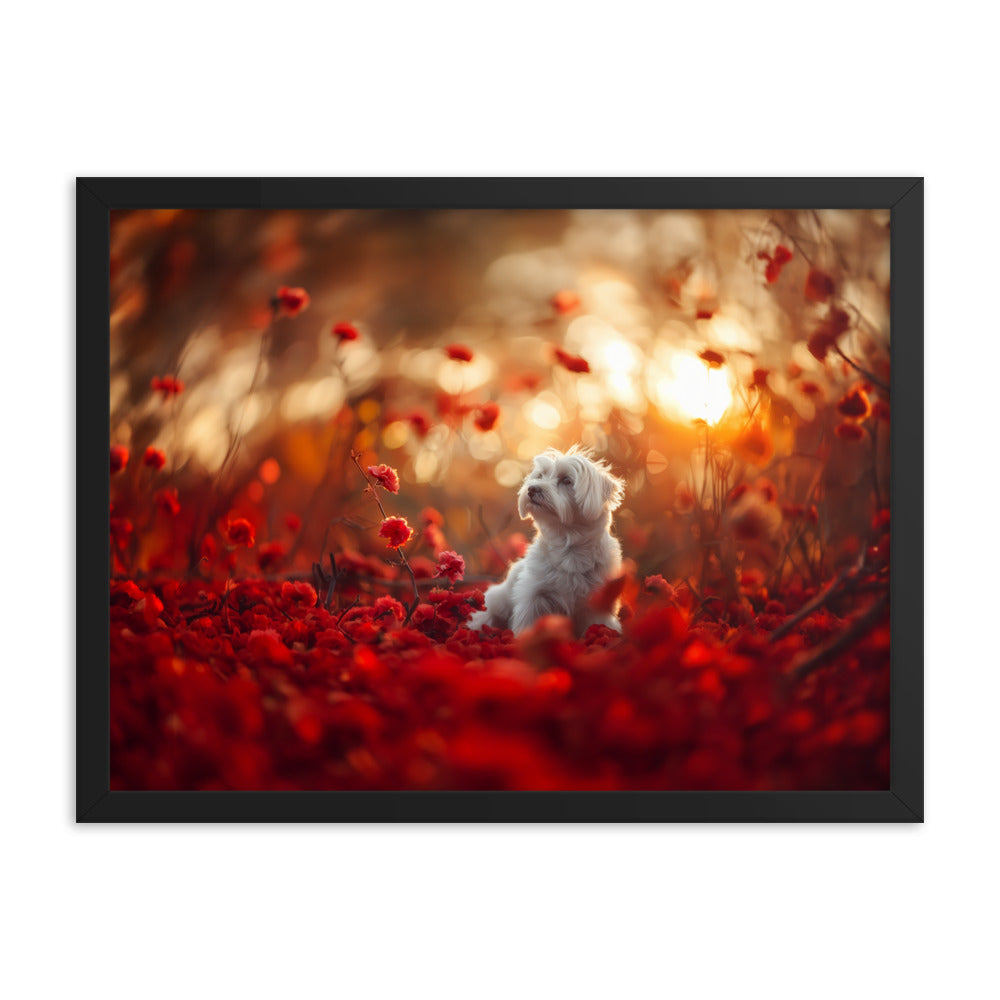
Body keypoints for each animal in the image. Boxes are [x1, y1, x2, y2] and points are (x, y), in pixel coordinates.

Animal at [468, 450, 624, 636]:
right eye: (540, 475)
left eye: (566, 480)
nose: (532, 488)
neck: (568, 548)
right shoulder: (533, 597)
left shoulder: (597, 605)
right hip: (497, 602)